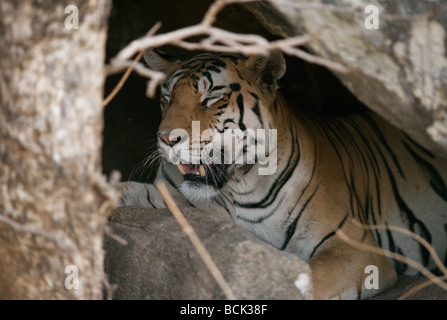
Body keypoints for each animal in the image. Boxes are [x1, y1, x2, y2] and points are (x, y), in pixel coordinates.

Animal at [119, 48, 447, 298]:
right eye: (166, 98)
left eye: (211, 97)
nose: (165, 139)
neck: (237, 186)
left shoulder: (354, 246)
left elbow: (307, 282)